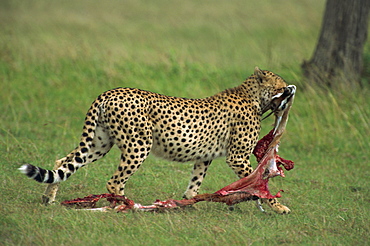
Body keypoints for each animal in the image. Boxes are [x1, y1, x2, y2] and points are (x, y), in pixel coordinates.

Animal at [21, 67, 298, 213]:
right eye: (281, 85)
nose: (291, 89)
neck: (253, 97)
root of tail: (110, 92)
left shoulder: (204, 157)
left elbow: (194, 184)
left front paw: (187, 205)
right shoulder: (237, 156)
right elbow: (261, 184)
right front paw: (278, 207)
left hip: (99, 144)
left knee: (63, 162)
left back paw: (48, 199)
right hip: (138, 146)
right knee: (114, 181)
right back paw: (125, 207)